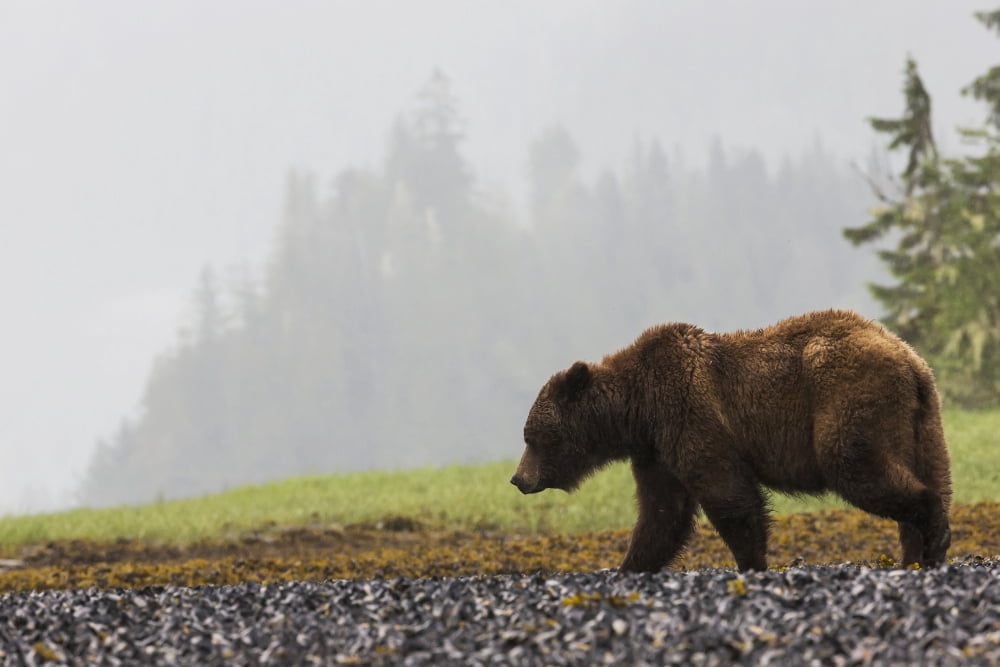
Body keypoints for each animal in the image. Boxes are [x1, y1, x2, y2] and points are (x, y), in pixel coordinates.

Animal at [510, 309, 952, 572]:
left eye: (533, 436)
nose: (518, 479)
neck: (639, 409)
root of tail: (908, 358)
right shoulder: (656, 452)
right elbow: (662, 512)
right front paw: (631, 565)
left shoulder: (690, 416)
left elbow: (729, 497)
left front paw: (751, 562)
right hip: (924, 419)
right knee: (933, 474)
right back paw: (918, 552)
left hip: (847, 397)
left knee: (857, 465)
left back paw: (930, 537)